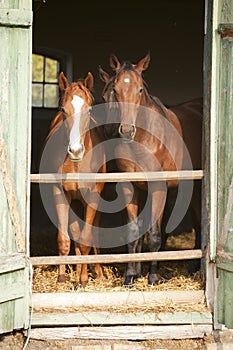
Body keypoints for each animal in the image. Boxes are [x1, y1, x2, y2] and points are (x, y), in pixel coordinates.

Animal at [41, 70, 106, 284]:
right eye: (63, 109)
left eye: (89, 110)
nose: (76, 151)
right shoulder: (60, 194)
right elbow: (64, 240)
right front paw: (63, 279)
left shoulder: (92, 196)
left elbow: (86, 239)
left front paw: (84, 280)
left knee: (93, 233)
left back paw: (96, 273)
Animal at [98, 53, 191, 286]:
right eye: (115, 90)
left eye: (140, 89)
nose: (125, 131)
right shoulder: (130, 186)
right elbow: (133, 231)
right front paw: (130, 275)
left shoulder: (158, 187)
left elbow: (155, 235)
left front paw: (153, 277)